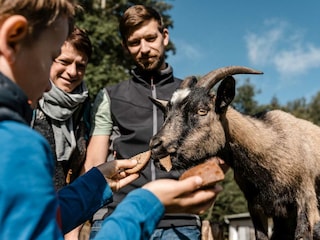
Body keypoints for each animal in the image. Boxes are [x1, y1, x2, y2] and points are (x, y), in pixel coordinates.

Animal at [150, 65, 320, 240]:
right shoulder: (255, 206)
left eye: (202, 111)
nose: (155, 145)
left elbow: (302, 235)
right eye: (165, 114)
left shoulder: (306, 200)